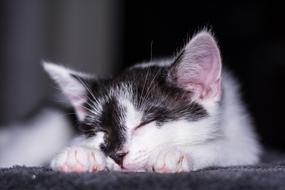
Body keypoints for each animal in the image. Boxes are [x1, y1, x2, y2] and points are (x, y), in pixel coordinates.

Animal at [0, 30, 260, 172]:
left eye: (145, 123)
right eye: (101, 131)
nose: (117, 155)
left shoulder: (242, 139)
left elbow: (225, 148)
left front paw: (173, 153)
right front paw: (80, 153)